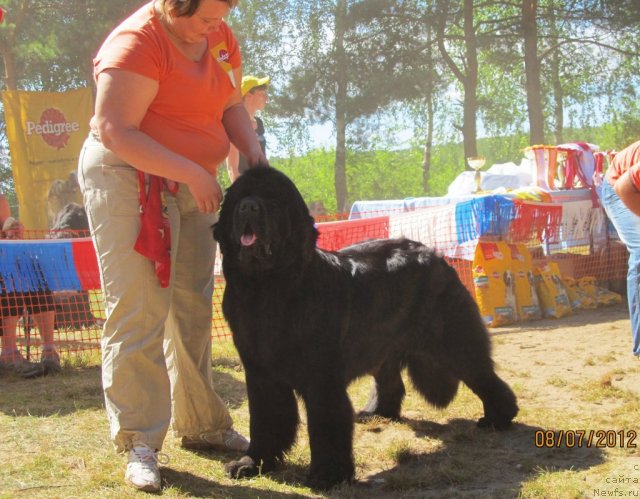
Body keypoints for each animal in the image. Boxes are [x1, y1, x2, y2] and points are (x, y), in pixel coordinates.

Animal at [215, 166, 520, 490]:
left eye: (272, 199)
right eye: (240, 198)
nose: (249, 207)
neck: (267, 287)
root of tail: (435, 256)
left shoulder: (321, 377)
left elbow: (326, 423)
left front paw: (328, 475)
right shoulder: (262, 375)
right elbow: (264, 420)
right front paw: (252, 463)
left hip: (452, 339)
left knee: (482, 374)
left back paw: (499, 417)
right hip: (382, 343)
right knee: (391, 382)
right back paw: (376, 412)